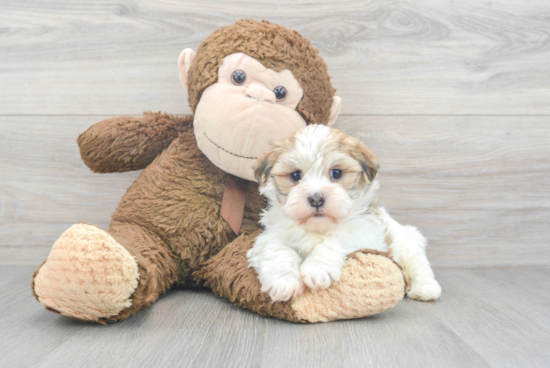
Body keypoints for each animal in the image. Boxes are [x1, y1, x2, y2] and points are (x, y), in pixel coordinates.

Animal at [250, 125, 444, 304]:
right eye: (296, 175)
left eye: (336, 173)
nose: (316, 199)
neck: (317, 228)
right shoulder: (270, 235)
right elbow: (276, 248)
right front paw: (282, 280)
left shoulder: (365, 234)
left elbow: (335, 239)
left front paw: (317, 268)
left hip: (407, 241)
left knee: (418, 264)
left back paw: (425, 288)